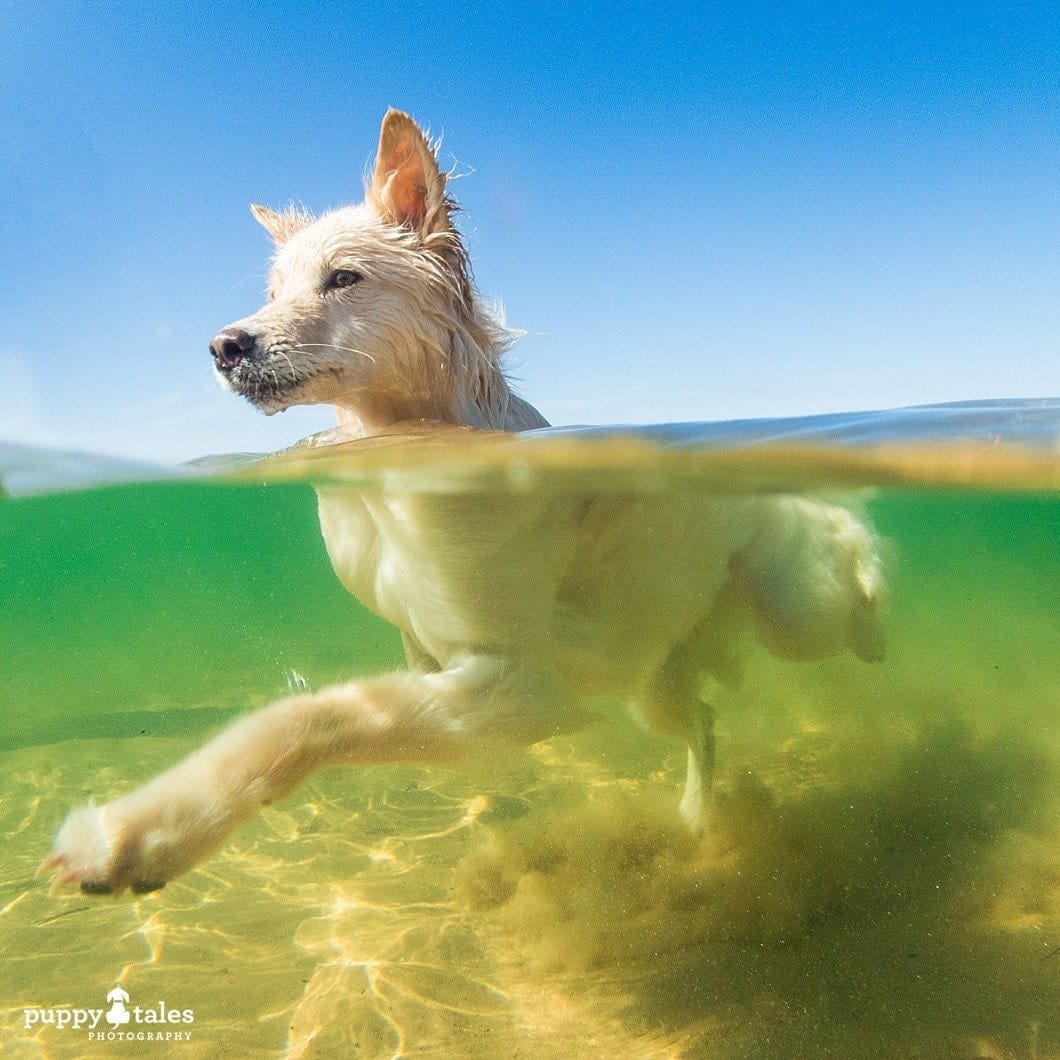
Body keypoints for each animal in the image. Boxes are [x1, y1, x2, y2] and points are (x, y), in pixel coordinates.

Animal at [43, 109, 886, 894]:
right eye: (272, 293)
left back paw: (871, 595)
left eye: (343, 279)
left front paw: (137, 832)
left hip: (792, 612)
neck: (389, 468)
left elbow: (308, 716)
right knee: (704, 723)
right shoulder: (435, 660)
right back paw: (691, 817)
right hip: (651, 680)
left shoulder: (515, 689)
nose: (224, 347)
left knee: (842, 561)